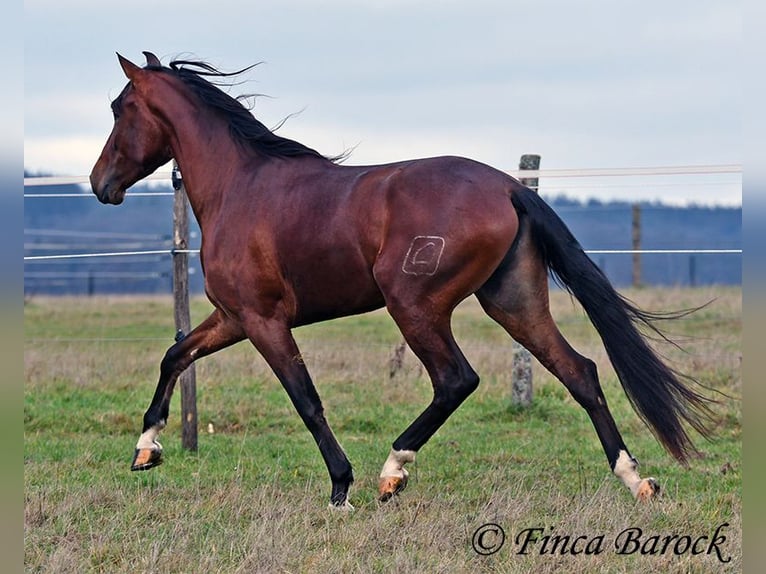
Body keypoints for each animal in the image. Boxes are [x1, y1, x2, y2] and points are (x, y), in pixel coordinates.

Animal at [90, 52, 714, 509]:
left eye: (120, 107)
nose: (100, 184)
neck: (239, 186)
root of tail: (509, 186)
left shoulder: (264, 320)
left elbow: (306, 399)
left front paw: (341, 486)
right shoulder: (232, 317)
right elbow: (175, 355)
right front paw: (146, 450)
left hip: (413, 305)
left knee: (456, 380)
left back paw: (393, 472)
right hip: (512, 303)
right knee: (579, 372)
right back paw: (636, 479)